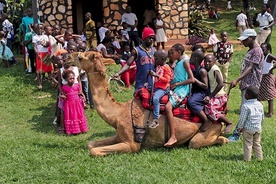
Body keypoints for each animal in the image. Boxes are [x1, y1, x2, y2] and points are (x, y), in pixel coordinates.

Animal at [71, 50, 229, 157]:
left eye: (80, 57)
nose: (68, 56)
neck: (118, 114)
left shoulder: (132, 144)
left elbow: (94, 151)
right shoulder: (119, 136)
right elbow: (91, 144)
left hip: (203, 134)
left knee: (198, 142)